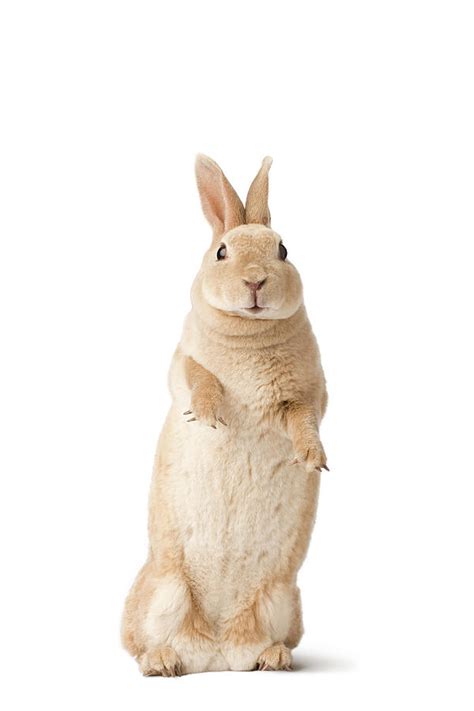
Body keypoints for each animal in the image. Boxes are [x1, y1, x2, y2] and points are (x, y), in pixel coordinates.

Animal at [121, 156, 330, 680]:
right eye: (221, 252)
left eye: (283, 250)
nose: (254, 282)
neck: (250, 332)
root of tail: (215, 651)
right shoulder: (184, 364)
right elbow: (201, 380)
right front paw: (210, 417)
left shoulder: (307, 395)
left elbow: (304, 420)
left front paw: (312, 458)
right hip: (165, 589)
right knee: (139, 642)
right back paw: (162, 662)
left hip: (281, 599)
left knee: (269, 641)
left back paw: (272, 658)